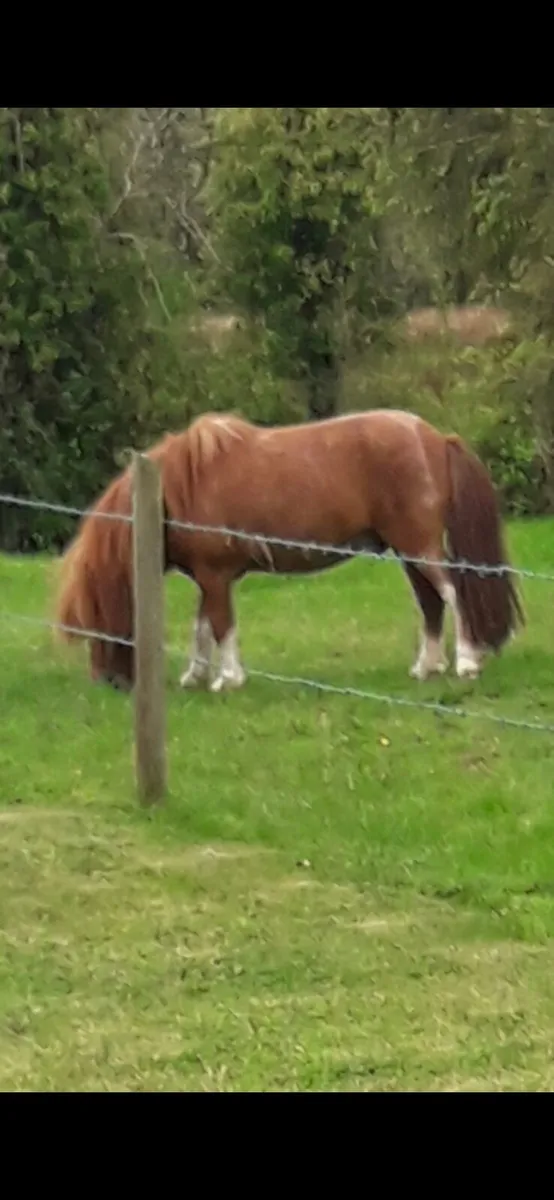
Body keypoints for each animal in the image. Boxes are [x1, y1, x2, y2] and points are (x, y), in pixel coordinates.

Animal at [55, 408, 524, 693]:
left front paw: (228, 679)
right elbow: (202, 627)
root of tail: (434, 437)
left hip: (420, 548)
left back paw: (467, 662)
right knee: (431, 602)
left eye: (96, 622)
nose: (108, 682)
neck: (175, 488)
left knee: (453, 595)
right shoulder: (211, 577)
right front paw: (196, 675)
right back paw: (427, 667)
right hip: (409, 552)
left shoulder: (214, 576)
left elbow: (221, 627)